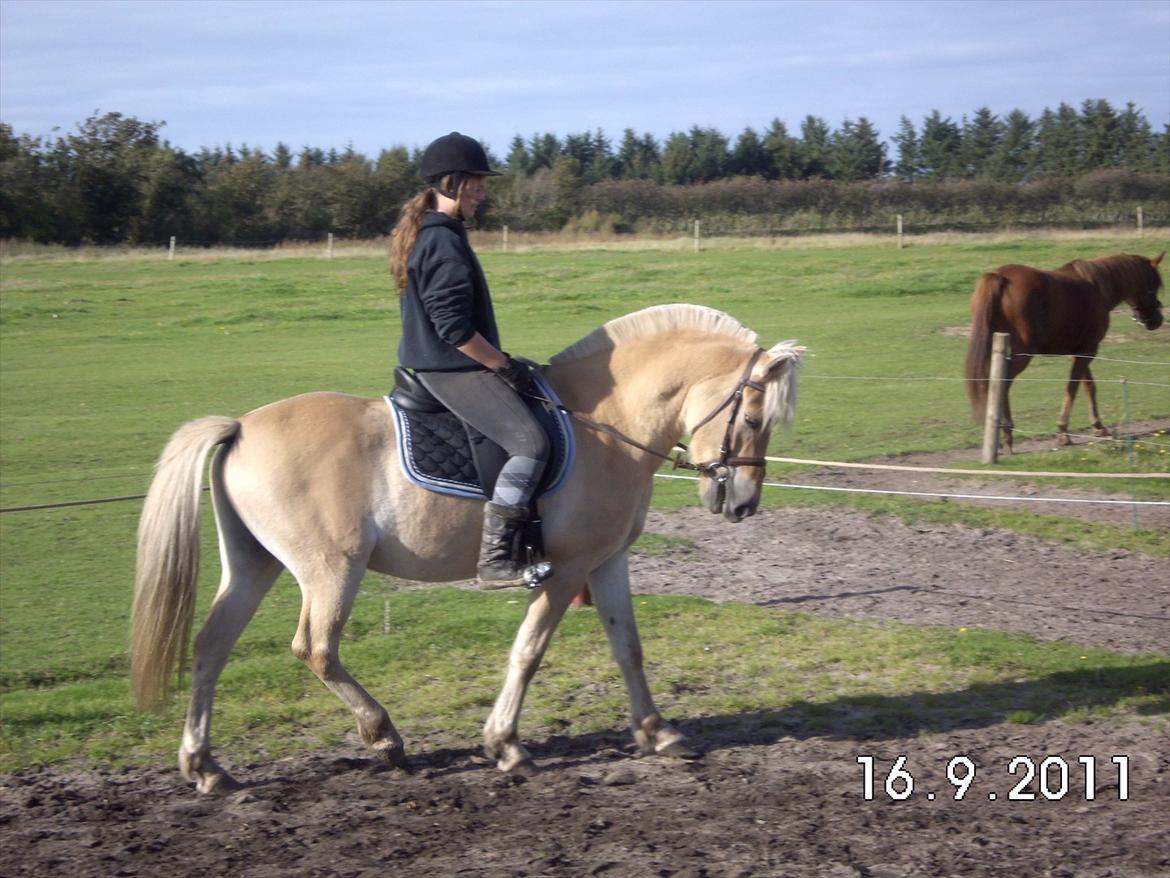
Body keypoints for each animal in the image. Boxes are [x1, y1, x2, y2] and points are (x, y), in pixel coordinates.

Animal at [130, 306, 804, 796]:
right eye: (751, 417)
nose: (742, 503)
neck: (604, 424)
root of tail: (240, 426)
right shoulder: (565, 571)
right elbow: (527, 654)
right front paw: (506, 746)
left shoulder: (607, 561)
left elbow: (629, 649)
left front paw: (659, 733)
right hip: (331, 570)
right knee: (315, 648)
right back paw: (383, 737)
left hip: (254, 565)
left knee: (211, 647)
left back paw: (205, 767)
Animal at [964, 250, 1165, 449]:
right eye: (1153, 286)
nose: (1156, 320)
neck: (1096, 288)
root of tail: (1000, 277)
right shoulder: (1088, 350)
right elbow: (1073, 387)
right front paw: (1063, 431)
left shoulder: (1080, 350)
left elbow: (1089, 386)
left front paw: (1098, 426)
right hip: (1021, 356)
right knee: (1001, 384)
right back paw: (1006, 433)